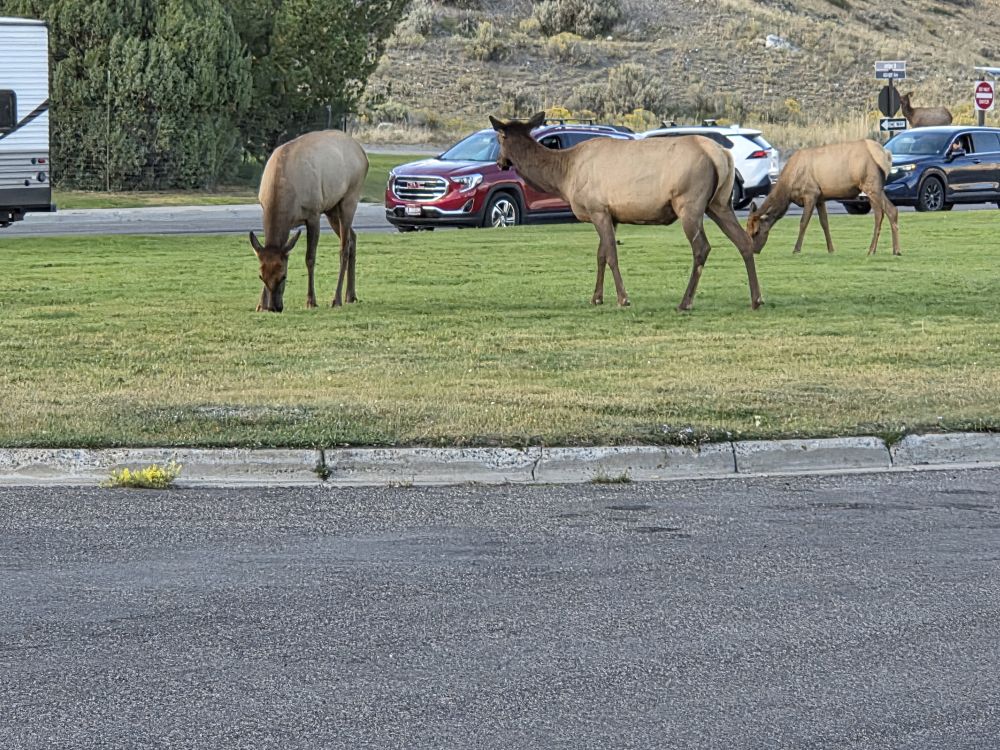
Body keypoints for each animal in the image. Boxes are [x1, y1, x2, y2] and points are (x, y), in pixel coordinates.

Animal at [250, 130, 369, 312]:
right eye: (261, 276)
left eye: (283, 276)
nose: (273, 307)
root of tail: (363, 154)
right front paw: (260, 305)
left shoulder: (313, 214)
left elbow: (310, 258)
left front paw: (311, 301)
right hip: (332, 208)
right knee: (352, 238)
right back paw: (351, 295)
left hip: (349, 198)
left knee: (344, 248)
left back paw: (337, 299)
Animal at [489, 112, 764, 311]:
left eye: (499, 138)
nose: (500, 163)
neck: (564, 176)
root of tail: (722, 155)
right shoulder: (610, 214)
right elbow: (600, 255)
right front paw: (596, 297)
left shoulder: (597, 208)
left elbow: (611, 255)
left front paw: (623, 298)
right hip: (719, 203)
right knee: (743, 241)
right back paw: (756, 299)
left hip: (689, 202)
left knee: (702, 248)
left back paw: (685, 302)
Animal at [746, 139, 901, 257]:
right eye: (747, 231)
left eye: (756, 231)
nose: (752, 251)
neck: (788, 189)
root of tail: (886, 155)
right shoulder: (820, 198)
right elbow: (824, 223)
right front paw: (831, 249)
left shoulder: (811, 193)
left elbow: (803, 222)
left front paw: (796, 249)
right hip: (873, 188)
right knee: (881, 214)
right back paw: (879, 250)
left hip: (871, 184)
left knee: (890, 210)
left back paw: (889, 250)